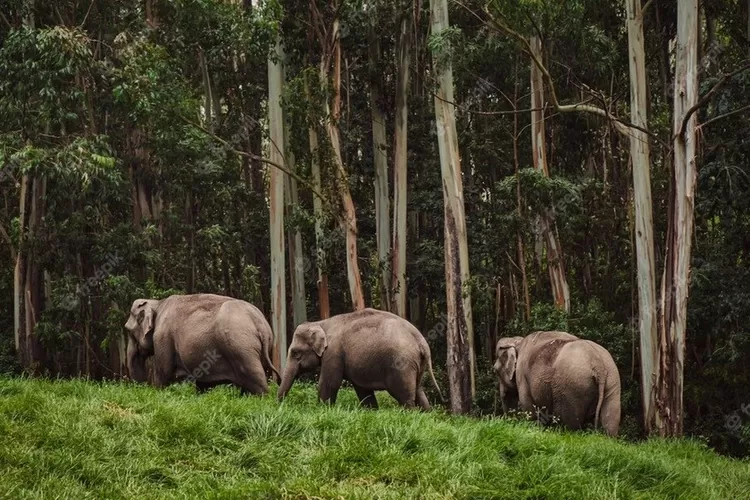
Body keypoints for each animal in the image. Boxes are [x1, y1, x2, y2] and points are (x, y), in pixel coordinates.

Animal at [125, 292, 280, 394]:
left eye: (127, 330)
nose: (141, 389)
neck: (158, 303)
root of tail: (260, 322)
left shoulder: (163, 337)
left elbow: (163, 373)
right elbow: (203, 383)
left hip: (241, 346)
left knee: (255, 378)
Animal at [278, 308, 446, 410]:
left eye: (295, 353)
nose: (279, 405)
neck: (320, 323)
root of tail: (421, 341)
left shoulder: (333, 353)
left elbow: (329, 383)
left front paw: (322, 410)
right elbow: (362, 389)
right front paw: (372, 411)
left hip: (402, 364)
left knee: (404, 395)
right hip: (417, 364)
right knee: (419, 391)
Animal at [494, 330, 624, 436]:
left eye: (495, 370)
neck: (518, 342)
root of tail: (598, 364)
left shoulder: (522, 376)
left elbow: (528, 406)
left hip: (571, 386)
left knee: (570, 423)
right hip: (612, 380)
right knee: (610, 419)